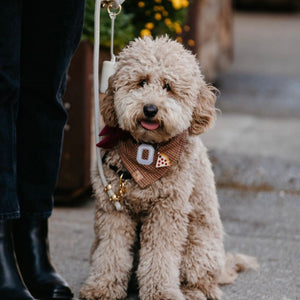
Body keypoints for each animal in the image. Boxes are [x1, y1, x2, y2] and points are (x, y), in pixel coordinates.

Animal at [80, 37, 258, 300]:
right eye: (141, 82)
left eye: (168, 87)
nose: (150, 109)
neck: (146, 154)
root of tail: (223, 265)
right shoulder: (113, 210)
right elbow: (111, 251)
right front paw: (102, 287)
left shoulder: (167, 211)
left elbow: (160, 257)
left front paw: (161, 292)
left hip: (198, 247)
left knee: (204, 282)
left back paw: (193, 292)